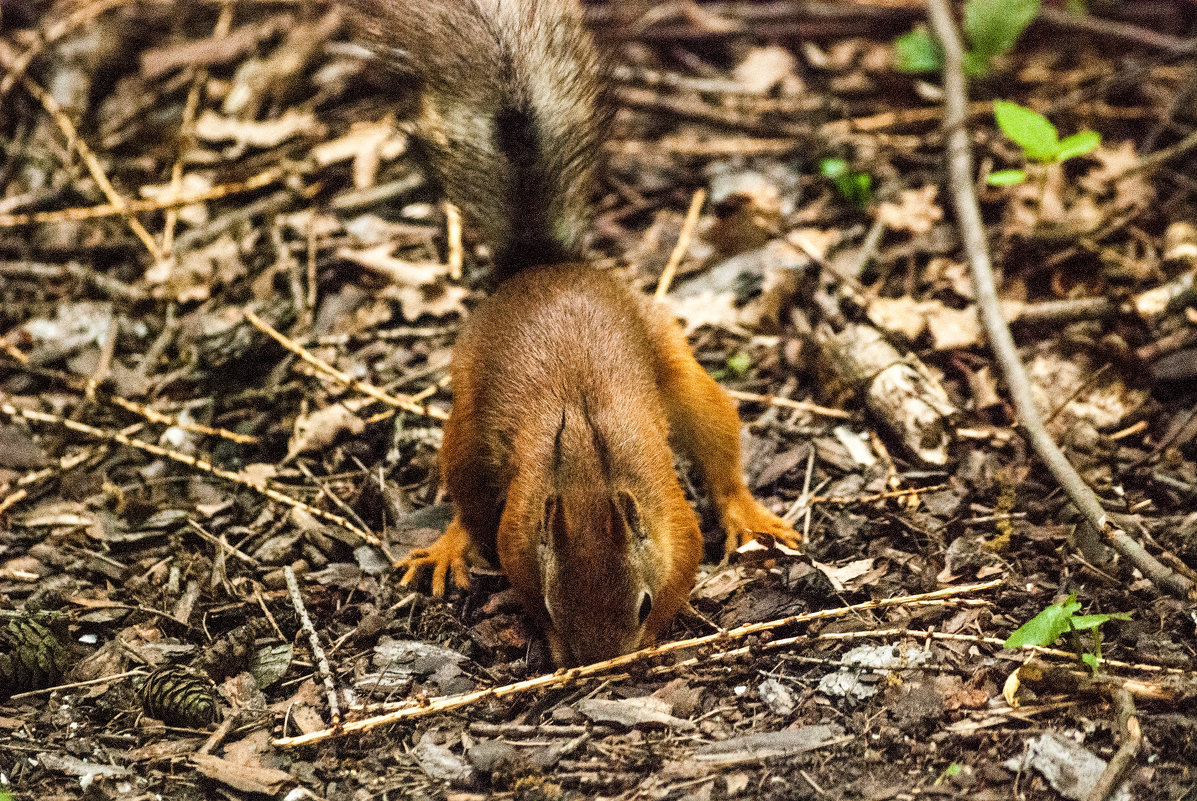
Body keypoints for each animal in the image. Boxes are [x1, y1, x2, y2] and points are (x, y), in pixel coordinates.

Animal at [342, 0, 799, 665]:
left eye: (641, 604)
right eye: (555, 607)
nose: (599, 661)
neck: (585, 475)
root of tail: (542, 266)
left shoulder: (675, 523)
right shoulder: (518, 528)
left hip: (674, 362)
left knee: (716, 446)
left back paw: (747, 514)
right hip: (467, 424)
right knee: (467, 506)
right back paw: (449, 546)